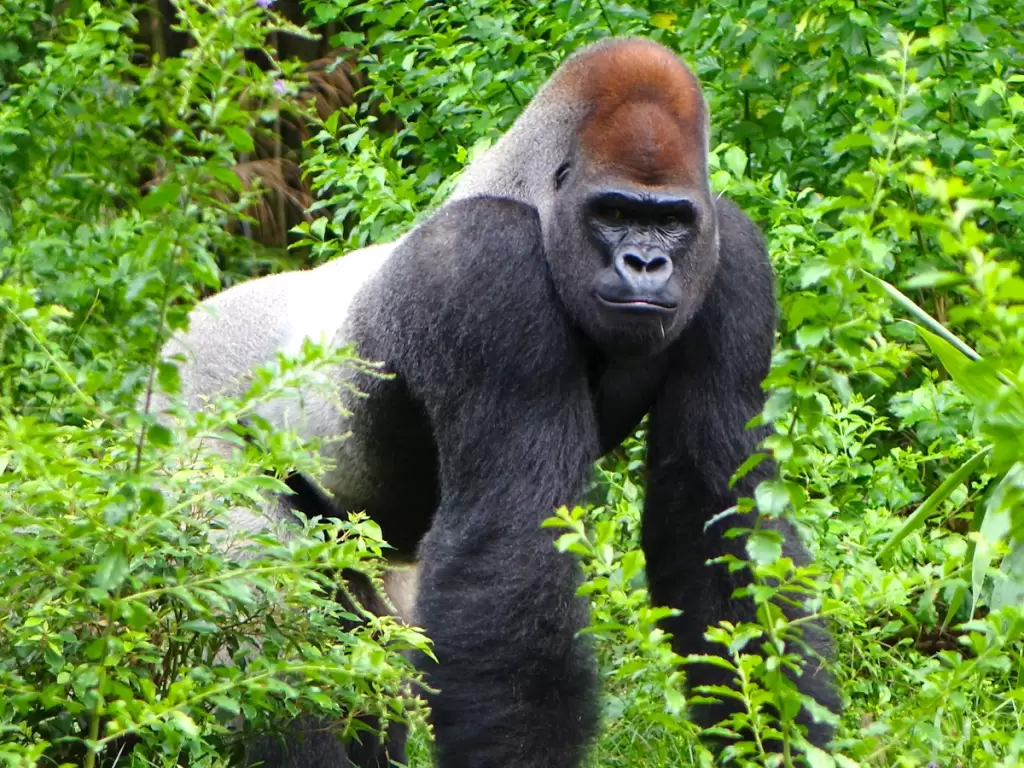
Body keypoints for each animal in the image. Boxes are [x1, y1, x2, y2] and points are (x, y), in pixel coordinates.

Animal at [159, 37, 841, 768]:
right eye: (614, 213)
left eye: (670, 221)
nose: (644, 264)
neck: (534, 197)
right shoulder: (486, 264)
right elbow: (512, 542)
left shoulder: (734, 256)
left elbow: (718, 515)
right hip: (185, 427)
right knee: (270, 629)